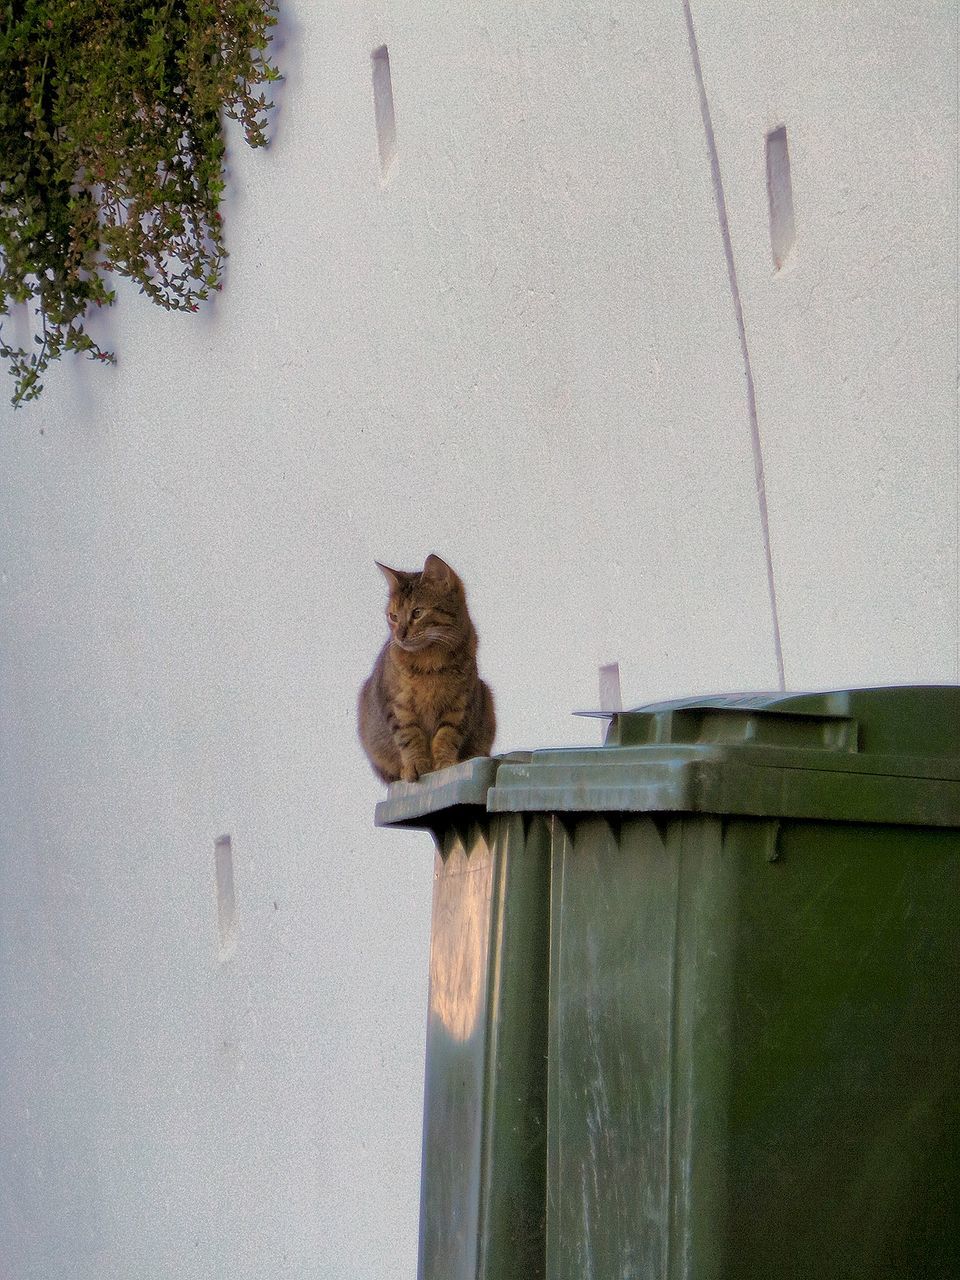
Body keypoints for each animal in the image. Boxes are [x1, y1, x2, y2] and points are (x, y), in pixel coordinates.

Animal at [358, 555, 496, 783]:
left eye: (417, 613)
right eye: (393, 616)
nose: (400, 635)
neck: (429, 663)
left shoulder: (459, 704)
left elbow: (447, 735)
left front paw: (445, 762)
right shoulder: (398, 705)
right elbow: (409, 737)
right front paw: (415, 765)